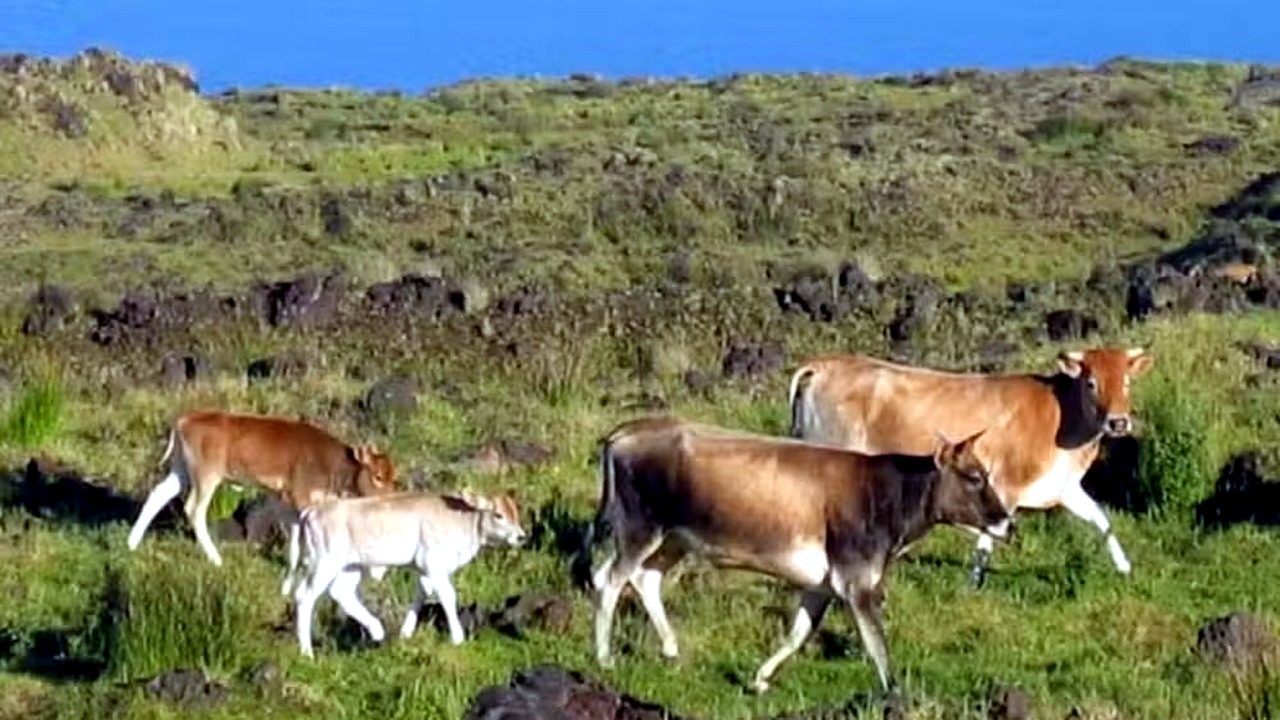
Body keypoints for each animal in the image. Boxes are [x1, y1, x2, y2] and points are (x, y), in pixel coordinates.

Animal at [126, 410, 399, 583]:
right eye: (377, 476)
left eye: (393, 476)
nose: (390, 498)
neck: (331, 462)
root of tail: (186, 419)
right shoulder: (301, 499)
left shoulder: (286, 502)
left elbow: (294, 539)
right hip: (207, 476)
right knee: (194, 510)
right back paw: (216, 559)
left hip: (180, 470)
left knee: (158, 495)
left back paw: (132, 542)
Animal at [290, 489, 527, 658]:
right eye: (498, 515)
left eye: (516, 513)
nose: (521, 536)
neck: (461, 520)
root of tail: (311, 511)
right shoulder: (434, 563)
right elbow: (448, 596)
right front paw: (458, 637)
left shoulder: (423, 568)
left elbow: (422, 595)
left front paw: (405, 633)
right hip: (325, 562)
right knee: (305, 596)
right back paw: (306, 652)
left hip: (352, 566)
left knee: (342, 594)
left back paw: (377, 630)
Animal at [581, 415, 1012, 696]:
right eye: (974, 476)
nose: (1007, 522)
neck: (885, 492)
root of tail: (624, 433)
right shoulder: (857, 580)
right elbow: (877, 643)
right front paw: (895, 695)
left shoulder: (821, 585)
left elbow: (798, 634)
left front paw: (759, 679)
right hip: (640, 528)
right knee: (610, 581)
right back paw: (604, 658)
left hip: (673, 539)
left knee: (645, 579)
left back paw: (671, 651)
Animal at [787, 346, 1154, 586]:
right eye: (1092, 383)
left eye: (1126, 382)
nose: (1118, 422)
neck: (1059, 417)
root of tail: (825, 364)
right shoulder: (1005, 484)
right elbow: (989, 534)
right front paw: (974, 581)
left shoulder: (1062, 486)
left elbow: (1101, 520)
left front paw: (1124, 567)